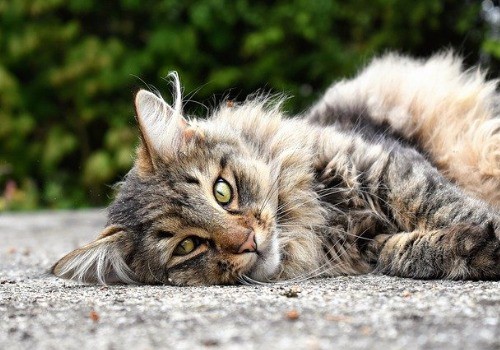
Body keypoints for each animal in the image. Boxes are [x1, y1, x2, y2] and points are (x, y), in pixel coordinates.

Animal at [51, 53, 500, 286]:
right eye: (187, 246)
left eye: (222, 191)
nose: (249, 241)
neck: (320, 223)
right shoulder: (371, 246)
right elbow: (407, 251)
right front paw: (474, 248)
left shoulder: (384, 166)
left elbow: (443, 205)